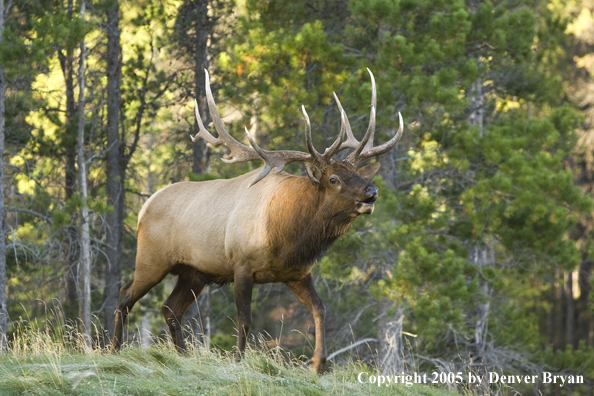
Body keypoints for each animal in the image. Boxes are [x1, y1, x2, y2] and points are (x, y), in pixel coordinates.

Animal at [108, 69, 400, 374]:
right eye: (333, 179)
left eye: (357, 173)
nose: (371, 191)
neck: (288, 238)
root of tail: (144, 207)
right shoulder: (241, 265)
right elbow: (245, 320)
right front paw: (239, 360)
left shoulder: (297, 273)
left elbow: (320, 308)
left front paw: (319, 364)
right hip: (152, 259)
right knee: (125, 295)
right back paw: (113, 349)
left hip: (193, 272)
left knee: (169, 308)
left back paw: (183, 354)